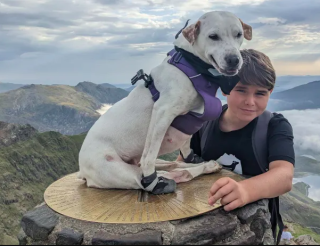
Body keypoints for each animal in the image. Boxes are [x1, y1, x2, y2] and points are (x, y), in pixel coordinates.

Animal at [78, 11, 252, 195]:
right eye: (213, 36)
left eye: (238, 34)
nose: (234, 59)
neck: (192, 66)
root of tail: (82, 171)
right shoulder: (163, 111)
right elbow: (150, 154)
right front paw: (151, 177)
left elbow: (186, 143)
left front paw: (192, 158)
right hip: (120, 170)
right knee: (176, 174)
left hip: (152, 162)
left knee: (174, 165)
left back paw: (206, 165)